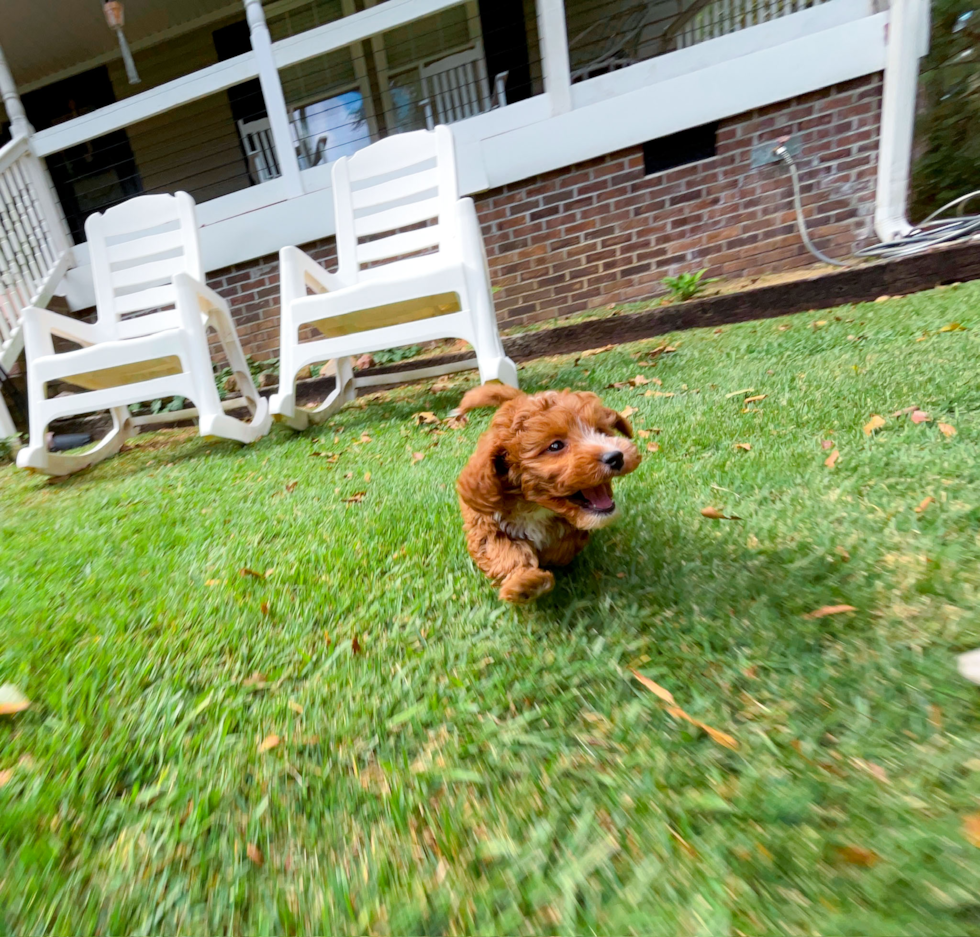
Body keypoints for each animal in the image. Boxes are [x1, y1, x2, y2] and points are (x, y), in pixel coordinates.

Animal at [456, 384, 640, 604]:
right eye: (555, 446)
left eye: (600, 431)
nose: (616, 457)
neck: (534, 506)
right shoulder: (487, 526)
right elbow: (504, 552)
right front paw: (526, 583)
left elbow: (564, 546)